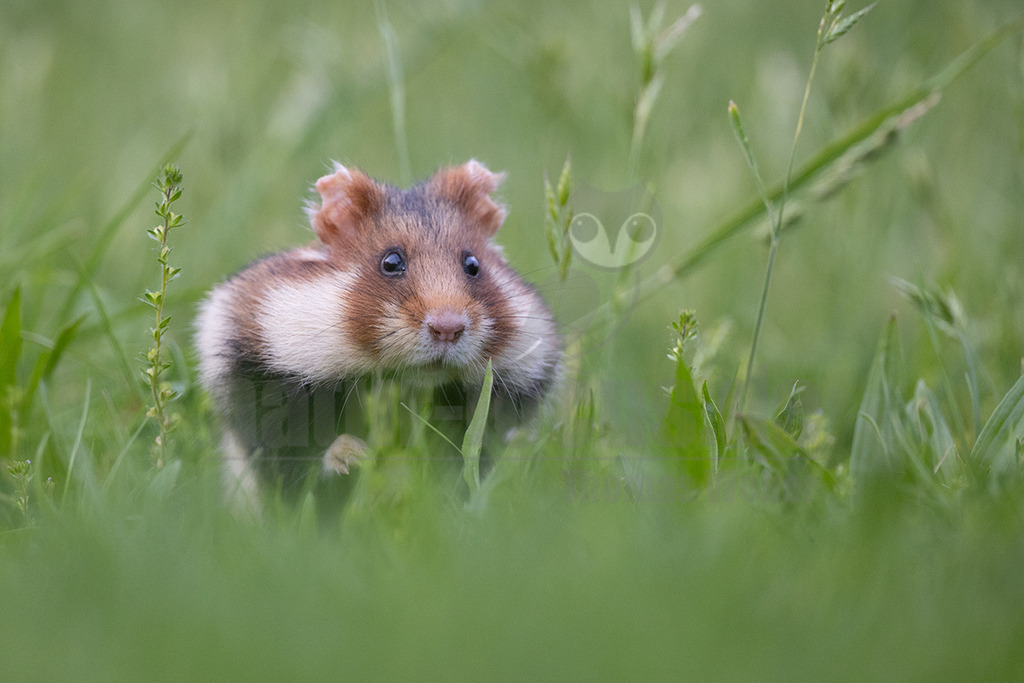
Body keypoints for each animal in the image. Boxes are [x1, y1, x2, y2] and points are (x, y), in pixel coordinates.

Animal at [195, 160, 561, 500]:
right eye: (391, 262)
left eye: (473, 265)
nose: (448, 328)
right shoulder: (261, 384)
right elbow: (292, 461)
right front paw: (351, 456)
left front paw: (516, 447)